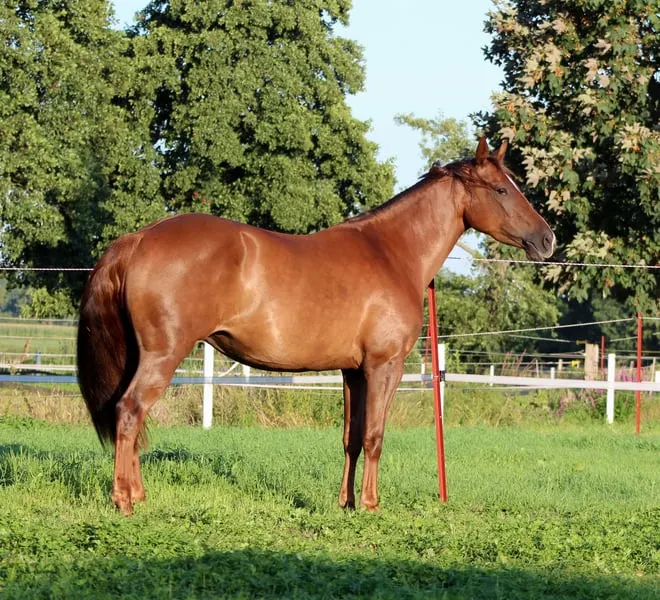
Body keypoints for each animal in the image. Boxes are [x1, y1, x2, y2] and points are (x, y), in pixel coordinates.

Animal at [77, 137, 555, 515]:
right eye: (501, 189)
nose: (547, 239)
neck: (391, 252)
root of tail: (138, 238)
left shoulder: (352, 372)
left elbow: (351, 437)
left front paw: (346, 503)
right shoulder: (384, 366)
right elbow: (375, 435)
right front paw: (371, 505)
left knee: (130, 417)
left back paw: (137, 494)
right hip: (163, 355)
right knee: (129, 412)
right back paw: (124, 501)